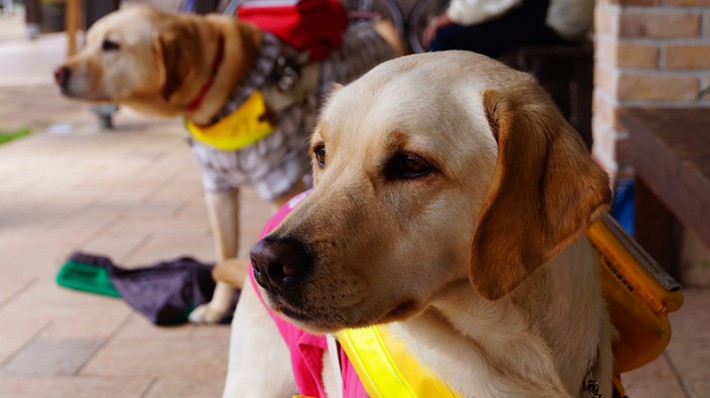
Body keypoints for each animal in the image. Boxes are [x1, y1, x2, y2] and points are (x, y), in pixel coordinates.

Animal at [55, 4, 400, 322]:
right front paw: (218, 307)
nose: (58, 73)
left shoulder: (279, 182)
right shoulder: (217, 188)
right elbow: (225, 251)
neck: (227, 92)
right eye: (88, 41)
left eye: (110, 45)